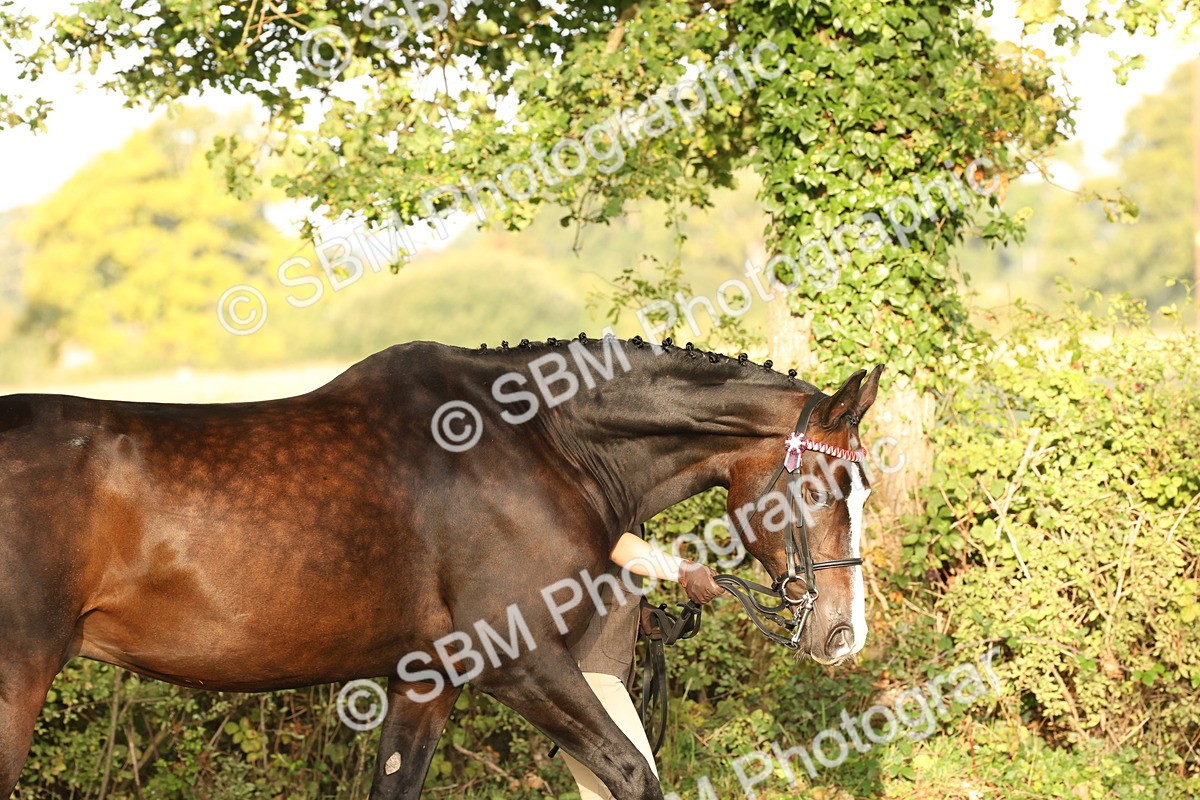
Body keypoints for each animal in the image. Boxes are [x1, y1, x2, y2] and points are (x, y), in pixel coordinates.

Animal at [0, 334, 883, 800]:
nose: (843, 633)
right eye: (820, 484)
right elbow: (632, 772)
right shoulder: (521, 664)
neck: (547, 443)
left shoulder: (425, 680)